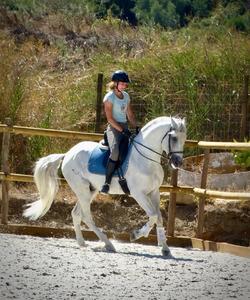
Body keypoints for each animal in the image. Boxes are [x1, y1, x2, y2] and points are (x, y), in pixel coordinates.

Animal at [23, 116, 187, 254]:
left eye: (184, 139)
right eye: (173, 138)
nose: (178, 162)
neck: (145, 159)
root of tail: (68, 154)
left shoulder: (154, 192)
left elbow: (158, 217)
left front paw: (165, 249)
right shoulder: (138, 194)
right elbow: (153, 215)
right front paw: (135, 235)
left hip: (91, 190)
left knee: (76, 214)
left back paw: (82, 242)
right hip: (82, 190)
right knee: (87, 216)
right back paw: (108, 244)